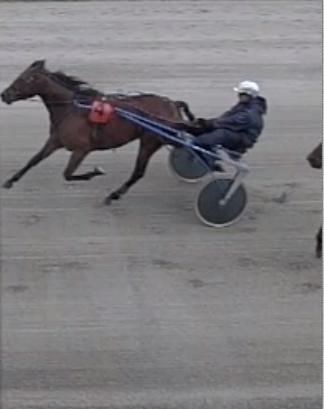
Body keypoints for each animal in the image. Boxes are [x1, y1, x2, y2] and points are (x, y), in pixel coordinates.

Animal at [0, 60, 195, 204]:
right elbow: (34, 160)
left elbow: (67, 174)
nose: (4, 95)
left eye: (24, 79)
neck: (71, 109)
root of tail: (172, 103)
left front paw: (96, 172)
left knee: (138, 172)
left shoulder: (81, 149)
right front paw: (10, 181)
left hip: (150, 141)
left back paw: (113, 195)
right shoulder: (55, 141)